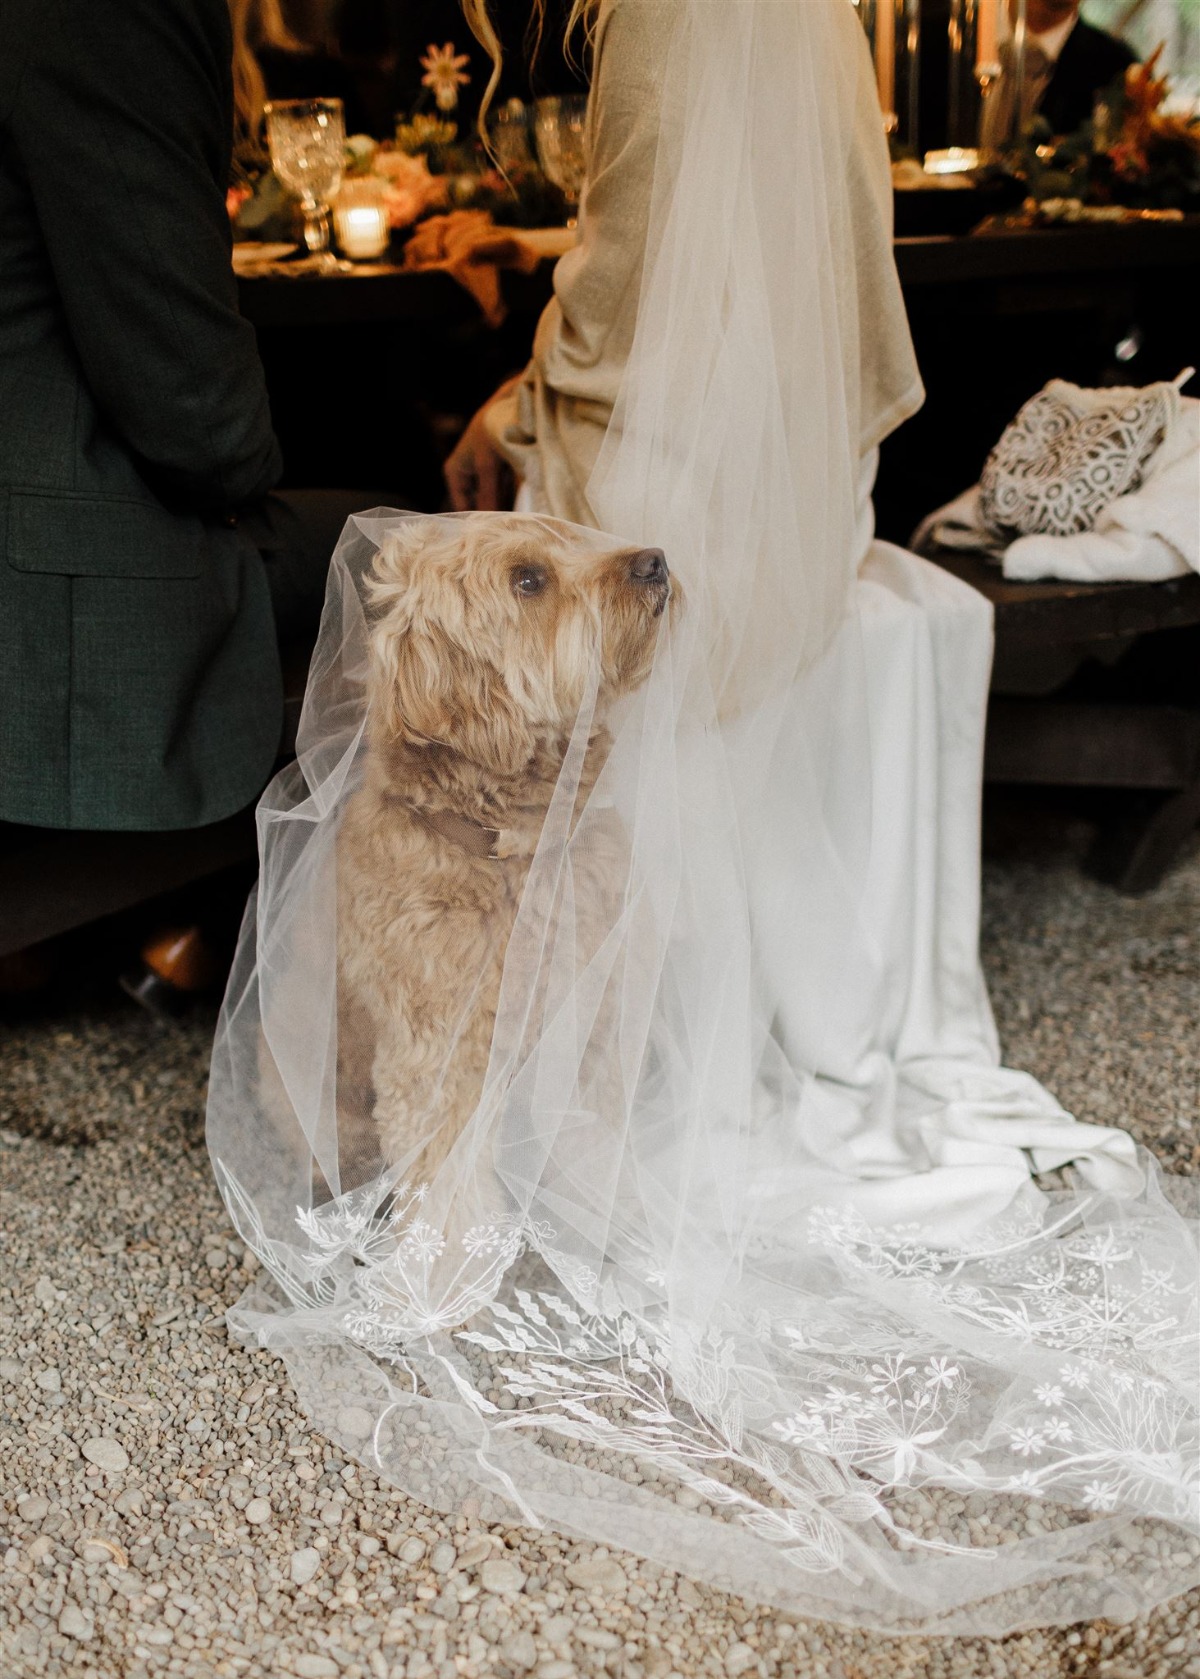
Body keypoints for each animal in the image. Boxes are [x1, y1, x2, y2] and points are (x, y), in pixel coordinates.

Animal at [333, 510, 674, 1195]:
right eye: (528, 579)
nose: (655, 561)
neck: (520, 850)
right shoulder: (438, 1072)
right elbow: (449, 1198)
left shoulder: (590, 1028)